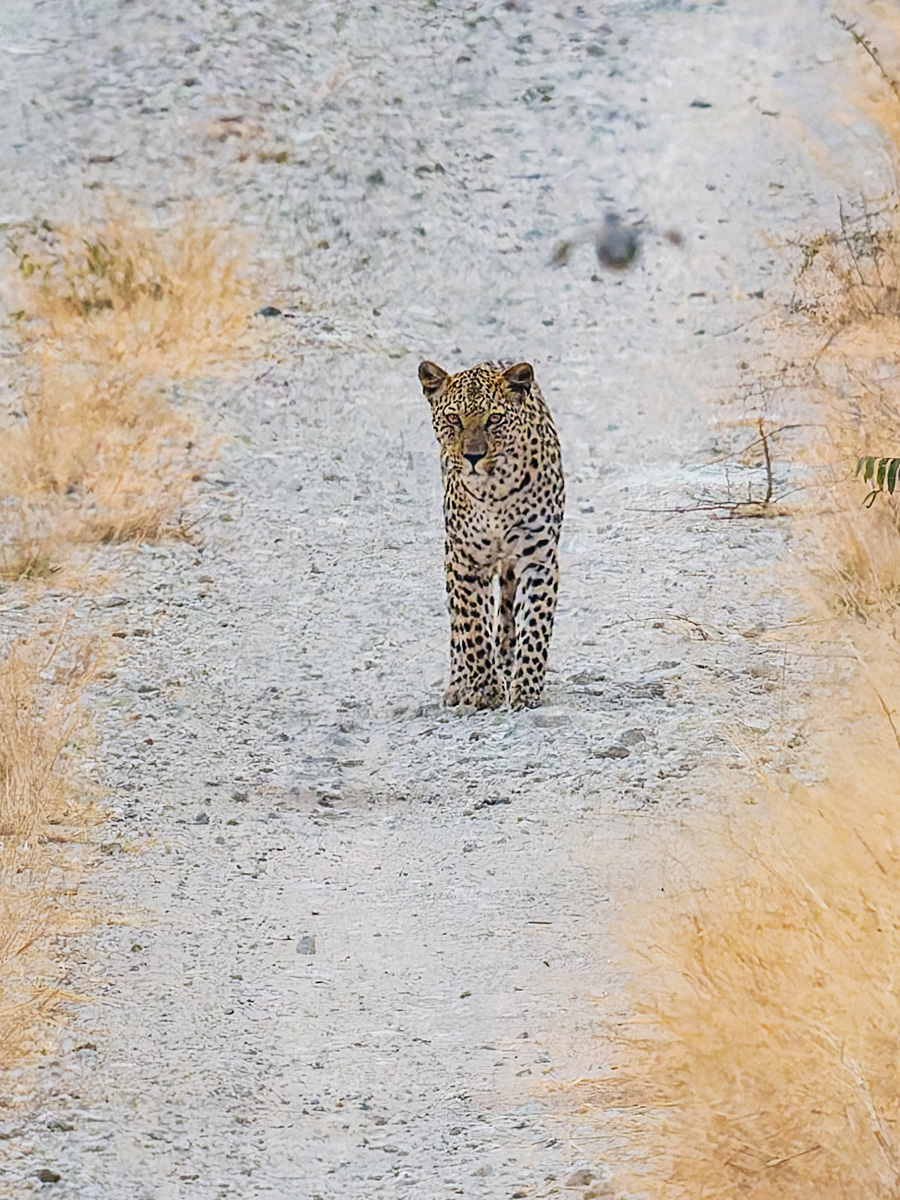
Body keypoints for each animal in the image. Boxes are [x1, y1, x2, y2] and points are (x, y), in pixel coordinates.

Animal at [418, 359, 565, 711]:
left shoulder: (539, 559)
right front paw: (484, 689)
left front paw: (526, 688)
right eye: (453, 418)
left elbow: (535, 625)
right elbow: (472, 627)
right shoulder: (466, 561)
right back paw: (460, 683)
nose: (473, 456)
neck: (493, 492)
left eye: (494, 418)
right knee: (459, 623)